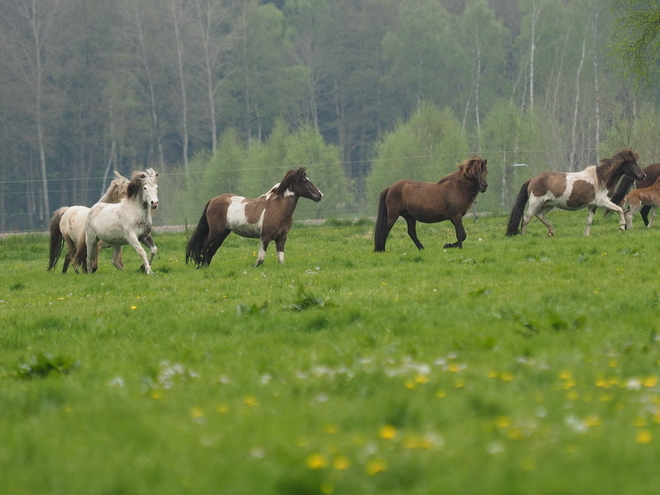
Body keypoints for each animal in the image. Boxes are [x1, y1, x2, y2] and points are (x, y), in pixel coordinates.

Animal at [186, 167, 322, 268]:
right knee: (205, 244)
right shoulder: (265, 236)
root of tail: (212, 200)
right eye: (305, 181)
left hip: (223, 233)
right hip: (216, 231)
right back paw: (204, 265)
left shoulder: (282, 237)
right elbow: (261, 258)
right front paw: (253, 266)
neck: (278, 207)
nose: (320, 195)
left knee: (213, 249)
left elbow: (281, 259)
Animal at [506, 149, 644, 238]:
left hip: (548, 204)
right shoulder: (603, 202)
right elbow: (619, 210)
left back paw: (551, 231)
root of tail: (532, 179)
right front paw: (621, 227)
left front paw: (586, 235)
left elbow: (589, 221)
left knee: (539, 215)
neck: (601, 179)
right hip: (536, 203)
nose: (643, 176)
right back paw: (524, 236)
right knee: (527, 217)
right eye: (632, 162)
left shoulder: (592, 206)